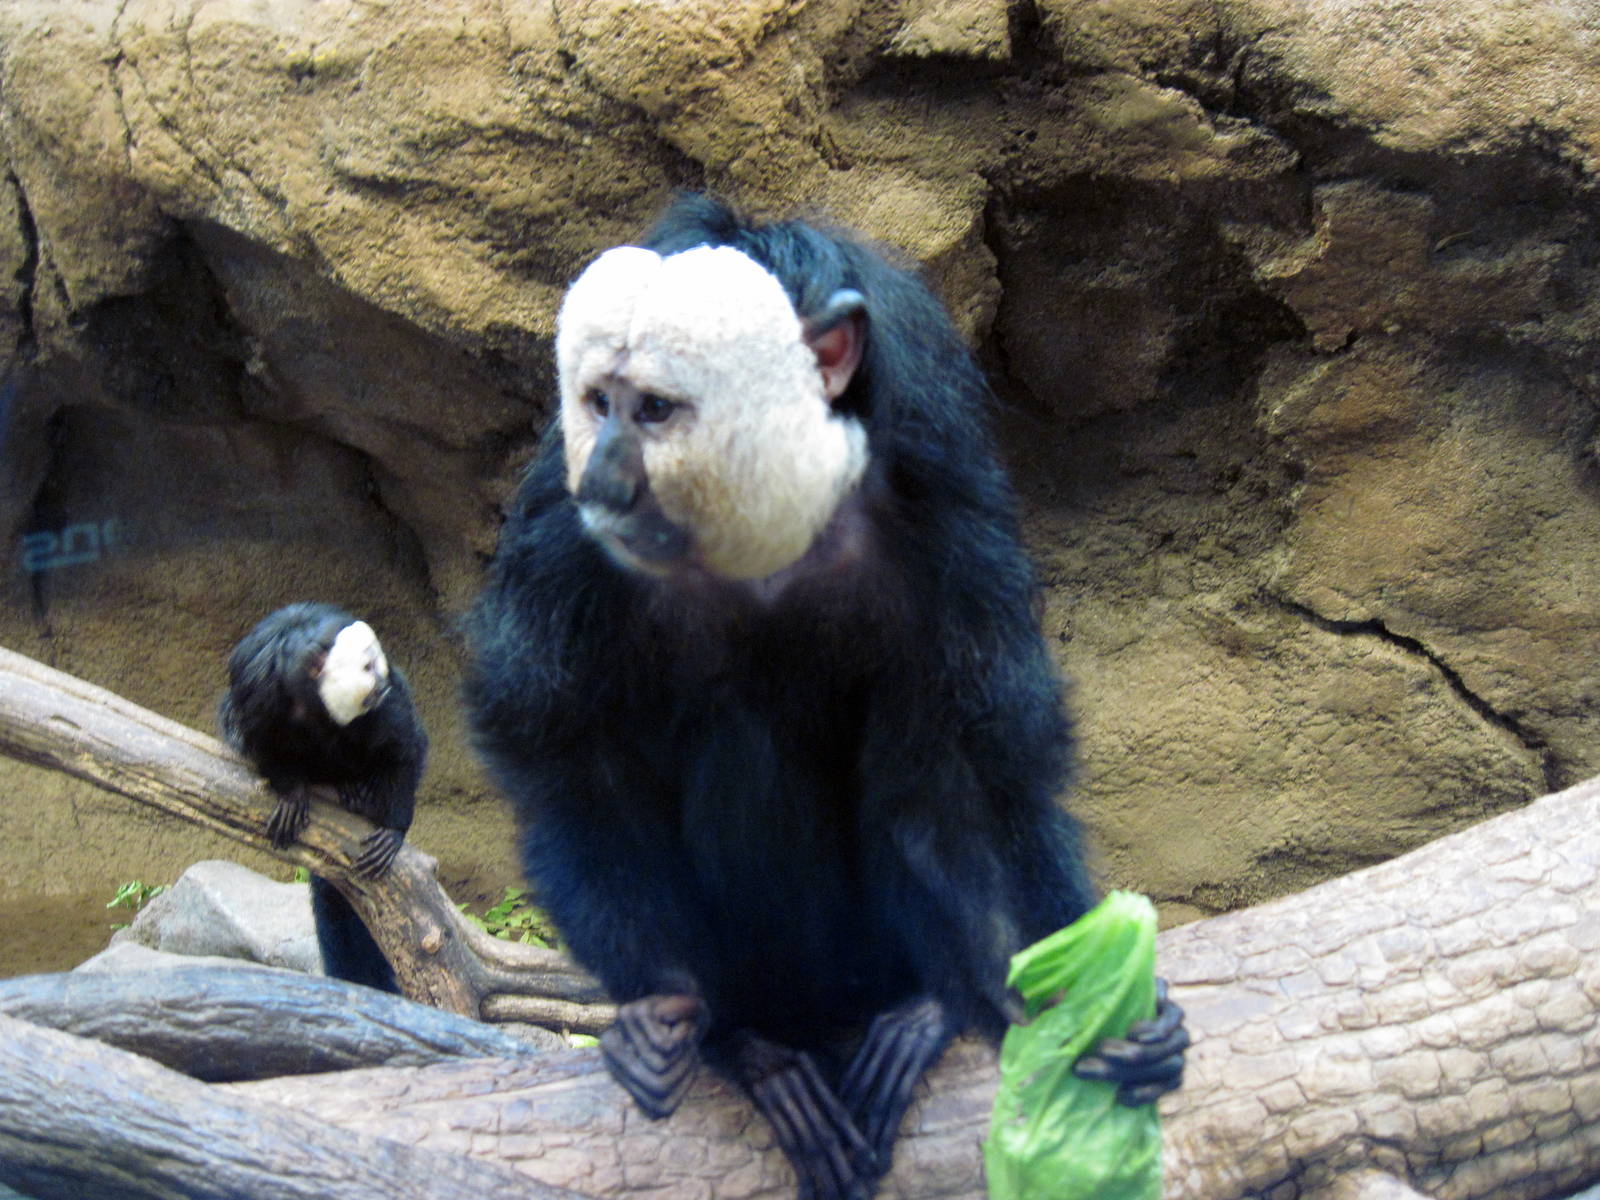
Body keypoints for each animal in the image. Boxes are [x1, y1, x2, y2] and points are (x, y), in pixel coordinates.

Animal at [219, 602, 428, 993]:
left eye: (379, 663)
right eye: (367, 667)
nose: (382, 682)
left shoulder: (385, 709)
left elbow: (404, 746)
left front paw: (393, 830)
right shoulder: (256, 688)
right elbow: (258, 740)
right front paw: (291, 793)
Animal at [464, 195, 1188, 1200]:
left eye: (655, 411)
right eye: (598, 403)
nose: (604, 475)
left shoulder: (938, 500)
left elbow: (965, 778)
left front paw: (1048, 1001)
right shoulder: (564, 537)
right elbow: (574, 764)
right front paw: (677, 1016)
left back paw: (920, 1013)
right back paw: (759, 1046)